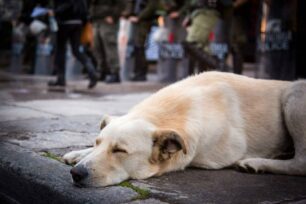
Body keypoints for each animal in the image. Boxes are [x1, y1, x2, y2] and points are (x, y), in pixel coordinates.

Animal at [62, 71, 306, 186]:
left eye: (120, 151)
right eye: (97, 143)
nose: (76, 174)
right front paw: (79, 153)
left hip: (294, 97)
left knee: (300, 164)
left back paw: (256, 163)